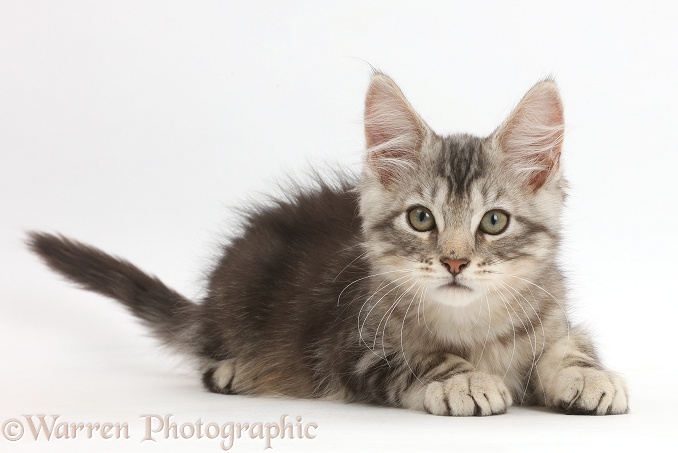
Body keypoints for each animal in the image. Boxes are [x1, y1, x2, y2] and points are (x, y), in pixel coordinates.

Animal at [27, 72, 632, 414]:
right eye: (421, 219)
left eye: (494, 222)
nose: (455, 261)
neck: (471, 326)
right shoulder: (351, 349)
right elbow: (422, 360)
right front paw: (465, 379)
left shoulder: (554, 317)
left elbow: (570, 346)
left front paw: (588, 376)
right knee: (209, 355)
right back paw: (236, 369)